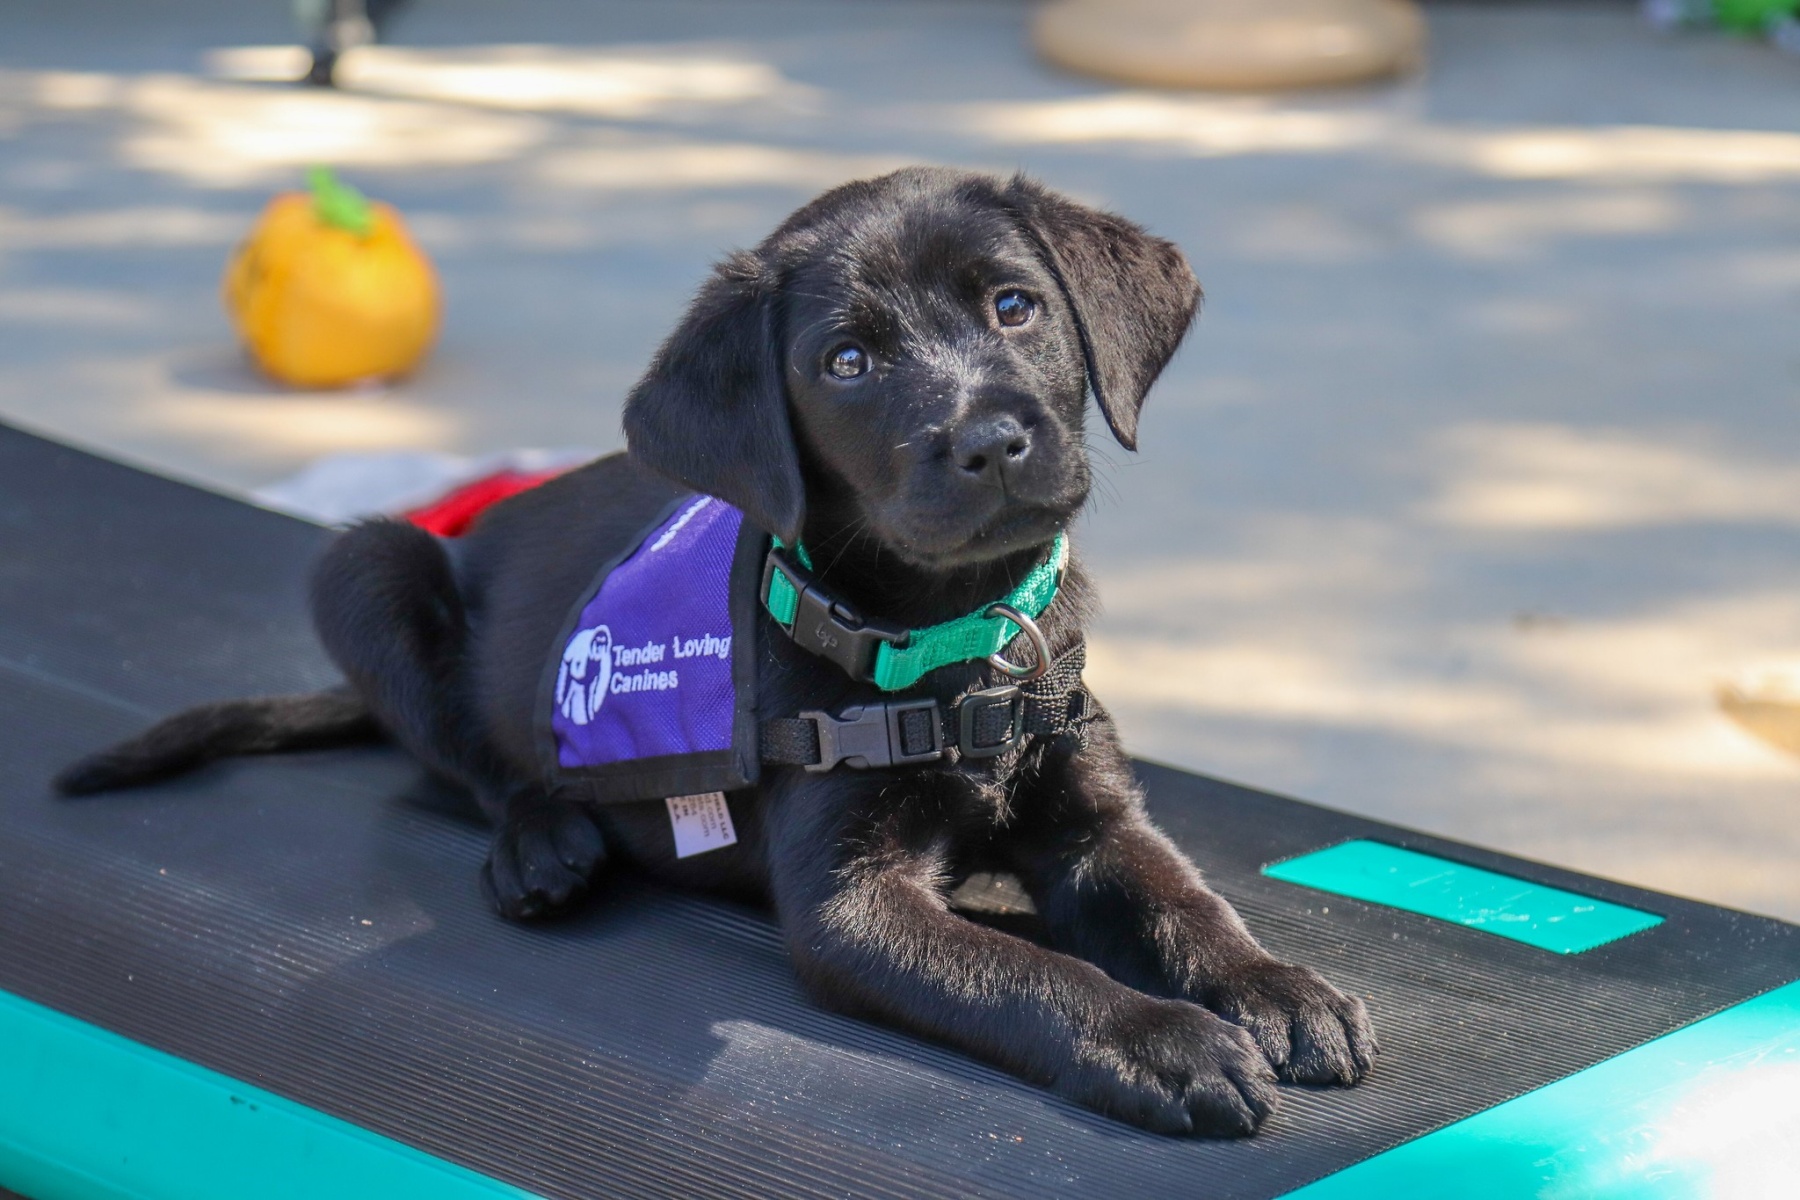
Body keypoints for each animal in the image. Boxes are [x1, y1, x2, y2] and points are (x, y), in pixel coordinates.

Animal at [63, 169, 1368, 1137]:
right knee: (470, 760)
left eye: (1016, 307)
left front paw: (1278, 990)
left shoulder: (1095, 818)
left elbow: (1184, 904)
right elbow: (1026, 973)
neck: (957, 641)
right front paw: (1164, 1042)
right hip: (369, 565)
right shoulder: (849, 906)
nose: (993, 443)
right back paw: (541, 845)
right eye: (847, 363)